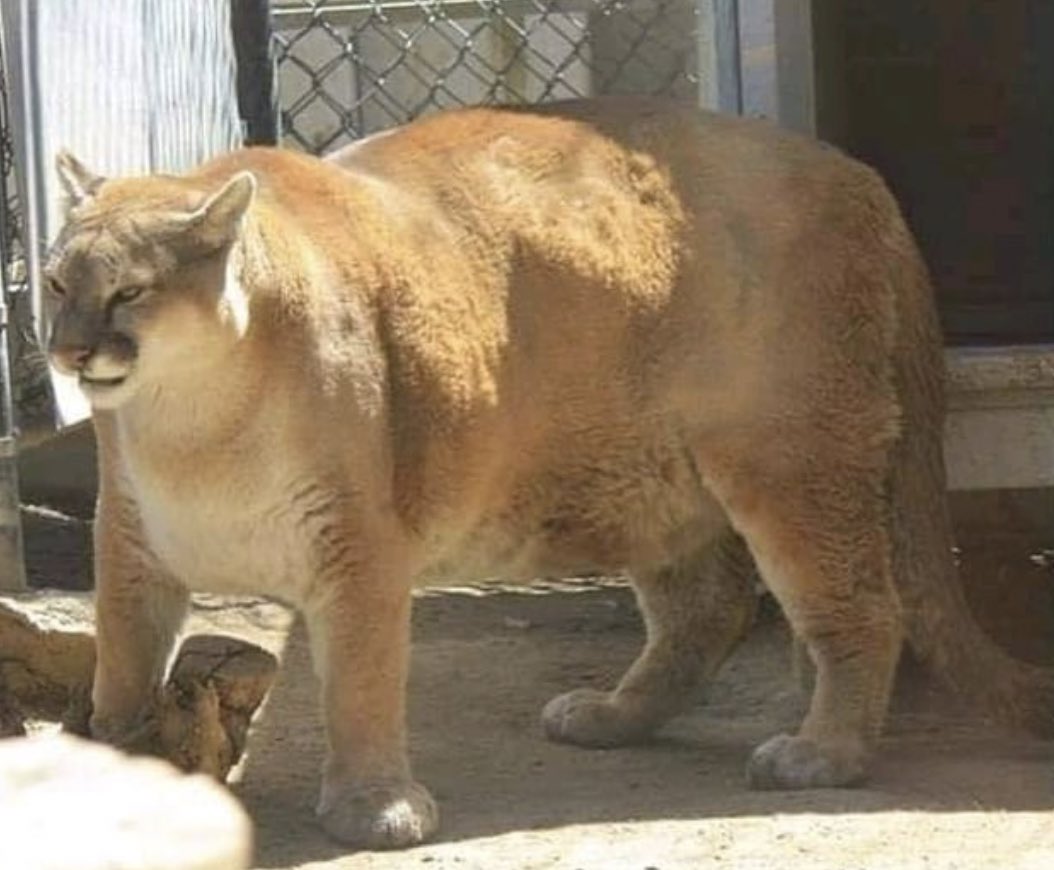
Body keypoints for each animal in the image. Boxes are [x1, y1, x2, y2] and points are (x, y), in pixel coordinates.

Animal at [44, 98, 1053, 850]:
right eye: (56, 284)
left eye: (128, 291)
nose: (65, 350)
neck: (197, 420)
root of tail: (853, 171)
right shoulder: (128, 547)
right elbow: (121, 668)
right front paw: (113, 767)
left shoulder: (358, 545)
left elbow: (361, 681)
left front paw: (375, 805)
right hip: (654, 477)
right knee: (707, 609)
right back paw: (615, 714)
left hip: (789, 459)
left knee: (862, 609)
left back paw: (824, 753)